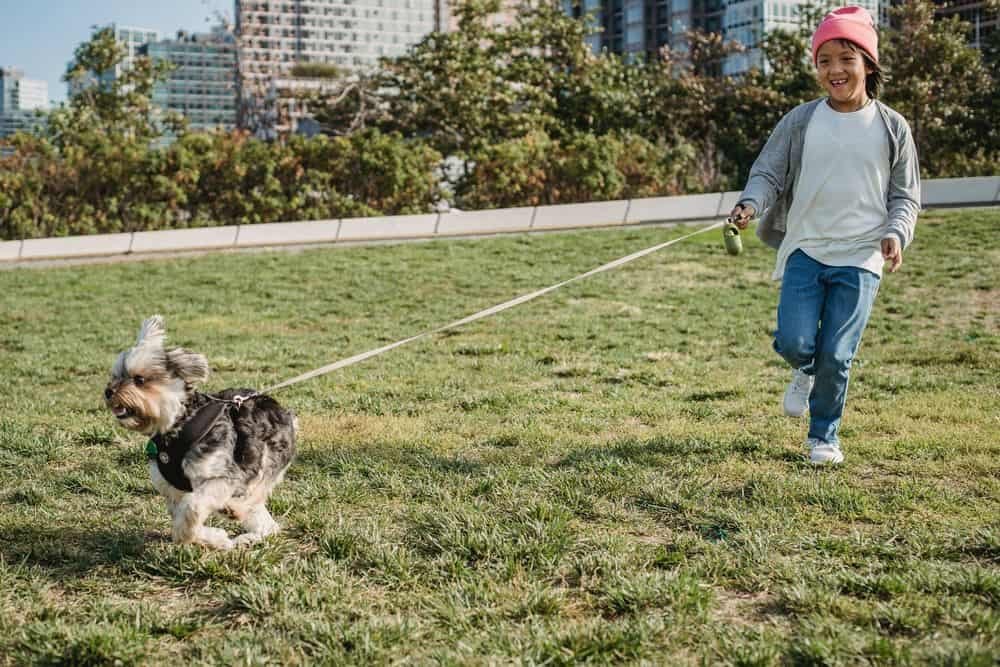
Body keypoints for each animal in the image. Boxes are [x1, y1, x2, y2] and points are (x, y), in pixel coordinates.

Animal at [108, 316, 296, 552]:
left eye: (139, 380)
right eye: (115, 376)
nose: (108, 391)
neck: (178, 425)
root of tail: (282, 410)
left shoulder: (221, 477)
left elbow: (192, 508)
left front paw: (200, 534)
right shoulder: (171, 490)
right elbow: (184, 520)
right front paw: (217, 539)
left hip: (265, 461)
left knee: (252, 496)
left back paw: (235, 508)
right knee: (268, 525)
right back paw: (247, 537)